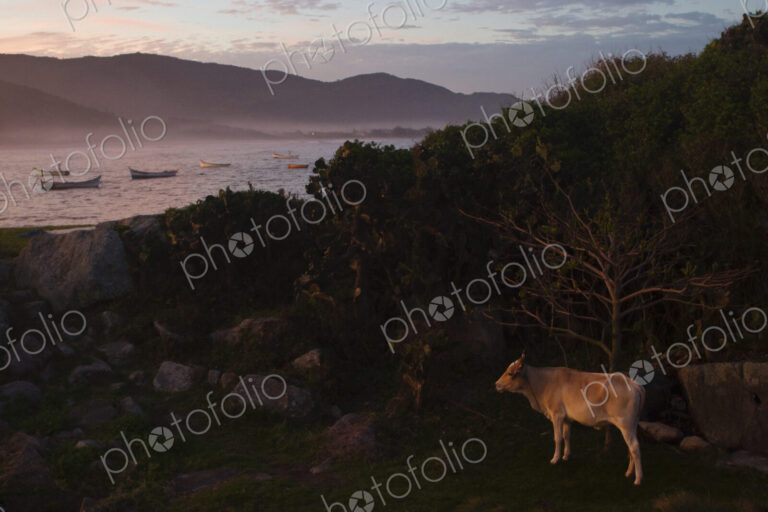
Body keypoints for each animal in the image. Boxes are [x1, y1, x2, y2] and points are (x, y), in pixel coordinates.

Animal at [495, 353, 645, 485]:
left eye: (510, 373)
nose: (496, 384)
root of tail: (633, 384)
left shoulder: (556, 414)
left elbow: (557, 438)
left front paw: (555, 459)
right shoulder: (567, 418)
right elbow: (566, 435)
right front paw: (566, 456)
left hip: (626, 424)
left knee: (635, 447)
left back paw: (638, 479)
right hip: (631, 425)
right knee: (630, 448)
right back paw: (629, 473)